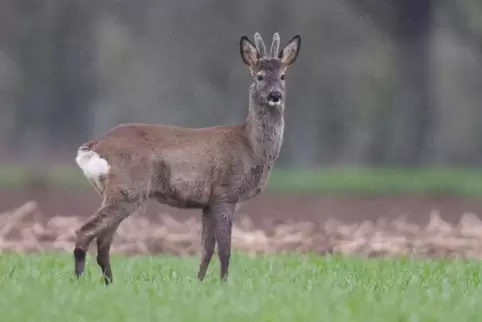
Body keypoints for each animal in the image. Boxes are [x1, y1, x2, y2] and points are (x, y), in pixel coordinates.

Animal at [74, 32, 302, 284]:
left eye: (282, 75)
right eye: (259, 76)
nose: (275, 95)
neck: (251, 146)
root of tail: (94, 146)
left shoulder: (207, 203)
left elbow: (206, 249)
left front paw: (200, 282)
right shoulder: (225, 194)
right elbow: (225, 249)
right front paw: (224, 283)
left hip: (118, 193)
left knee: (103, 242)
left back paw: (109, 283)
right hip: (127, 189)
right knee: (85, 232)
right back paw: (80, 280)